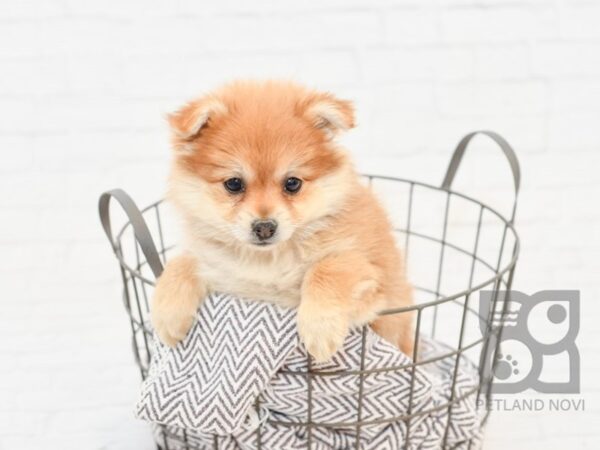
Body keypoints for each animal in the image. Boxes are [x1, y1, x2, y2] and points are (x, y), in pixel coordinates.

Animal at [150, 80, 412, 362]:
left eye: (292, 183)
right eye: (234, 184)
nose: (265, 227)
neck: (268, 260)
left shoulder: (372, 274)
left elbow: (328, 267)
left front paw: (319, 329)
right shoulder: (220, 269)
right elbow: (181, 262)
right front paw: (167, 315)